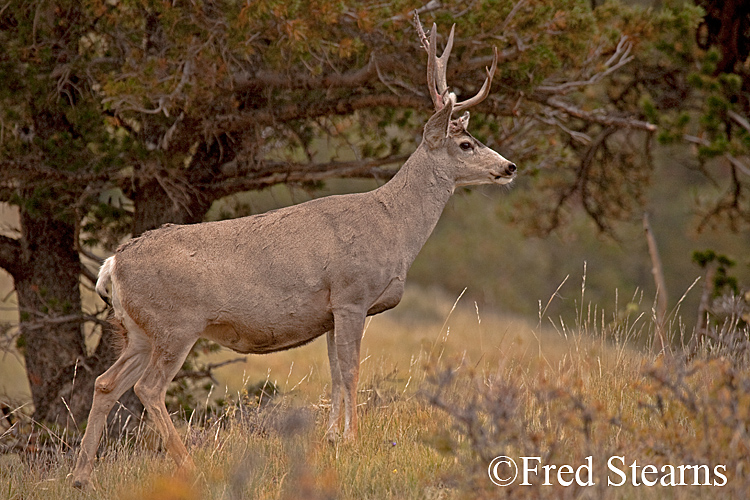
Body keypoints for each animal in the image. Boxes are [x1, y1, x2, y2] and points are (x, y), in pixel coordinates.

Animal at [72, 17, 516, 486]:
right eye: (466, 144)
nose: (509, 167)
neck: (393, 225)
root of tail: (113, 263)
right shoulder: (352, 295)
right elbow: (352, 370)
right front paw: (352, 440)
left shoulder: (331, 311)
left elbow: (336, 373)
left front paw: (334, 438)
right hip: (176, 324)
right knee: (148, 388)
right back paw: (188, 464)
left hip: (139, 330)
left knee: (105, 383)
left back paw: (82, 476)